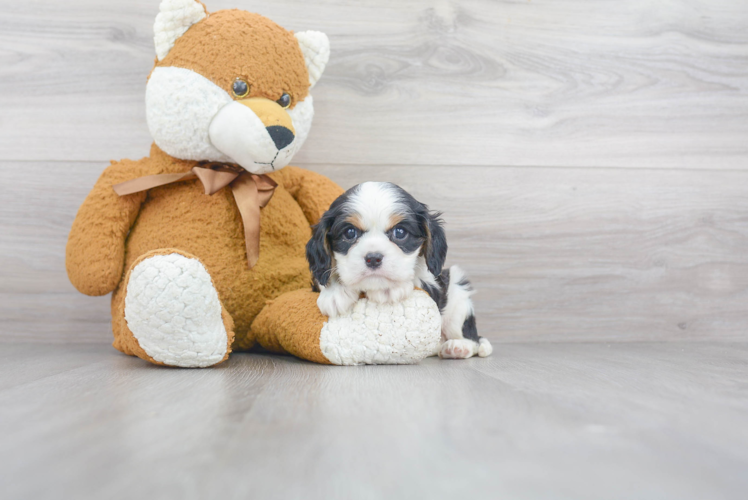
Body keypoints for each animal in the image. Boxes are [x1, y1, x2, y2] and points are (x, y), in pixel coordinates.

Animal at [306, 182, 494, 358]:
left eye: (400, 232)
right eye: (350, 232)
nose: (373, 257)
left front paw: (390, 288)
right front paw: (335, 293)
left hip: (458, 296)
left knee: (473, 339)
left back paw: (458, 347)